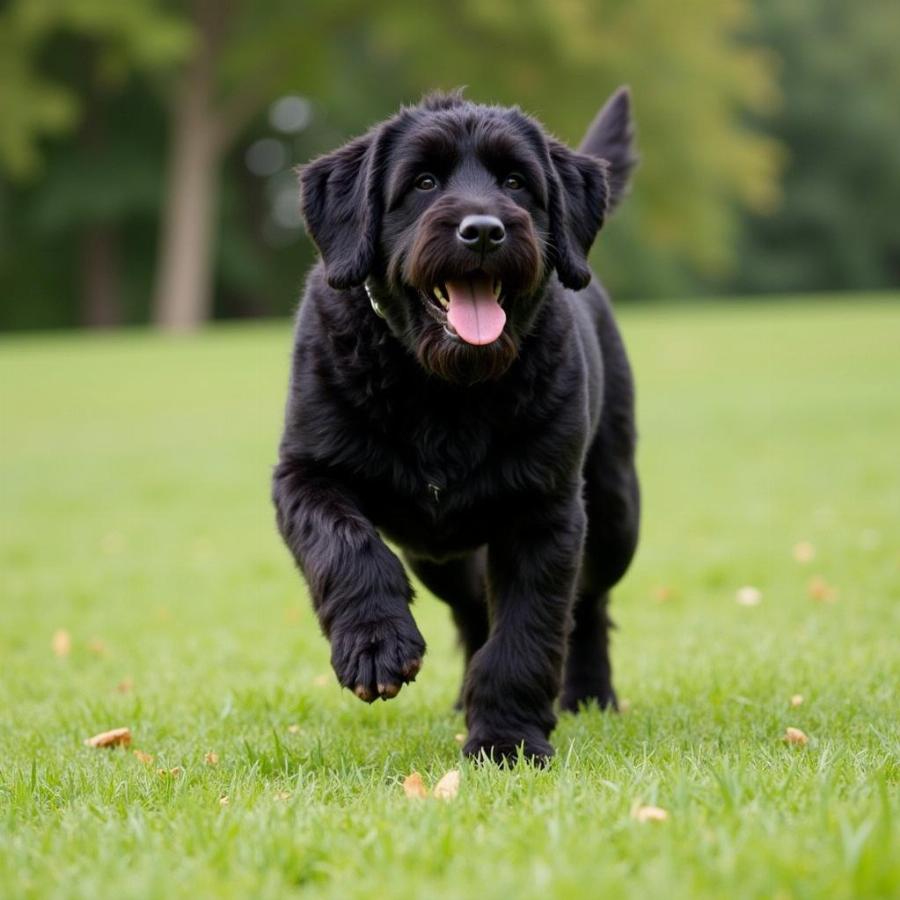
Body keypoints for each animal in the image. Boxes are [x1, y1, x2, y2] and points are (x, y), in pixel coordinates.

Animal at [272, 88, 640, 764]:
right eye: (423, 181)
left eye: (517, 181)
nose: (484, 230)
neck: (444, 391)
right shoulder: (304, 474)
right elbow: (345, 543)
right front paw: (375, 643)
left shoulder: (546, 512)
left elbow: (529, 629)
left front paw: (507, 740)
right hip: (437, 557)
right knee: (473, 611)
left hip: (614, 516)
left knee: (589, 603)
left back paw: (588, 692)